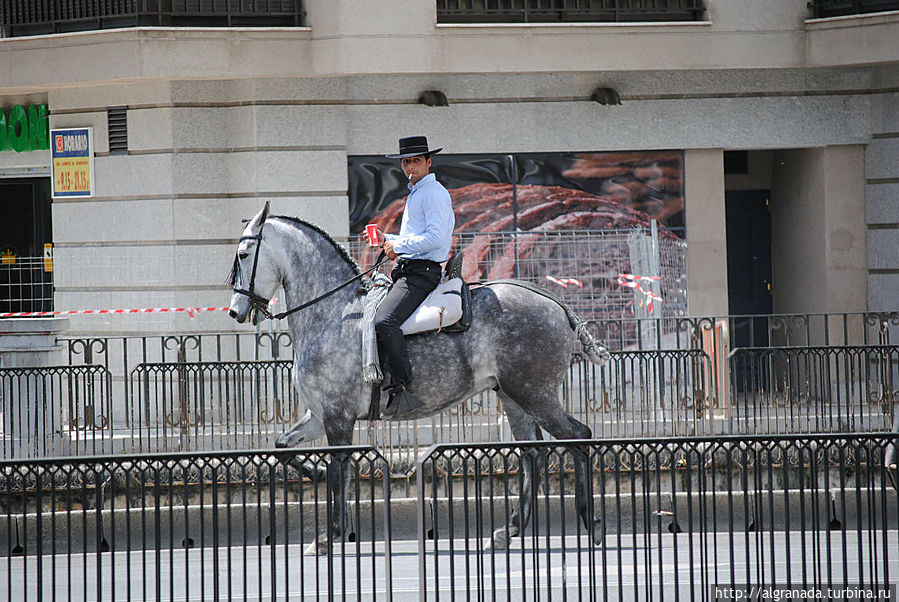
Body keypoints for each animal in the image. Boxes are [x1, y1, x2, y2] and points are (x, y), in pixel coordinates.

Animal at [229, 203, 616, 552]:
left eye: (244, 254)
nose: (235, 311)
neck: (334, 314)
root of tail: (555, 304)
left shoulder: (338, 419)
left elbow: (340, 472)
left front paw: (330, 535)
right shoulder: (319, 416)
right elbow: (284, 449)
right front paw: (318, 478)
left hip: (536, 395)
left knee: (578, 437)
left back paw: (592, 523)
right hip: (513, 397)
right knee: (532, 455)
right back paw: (509, 531)